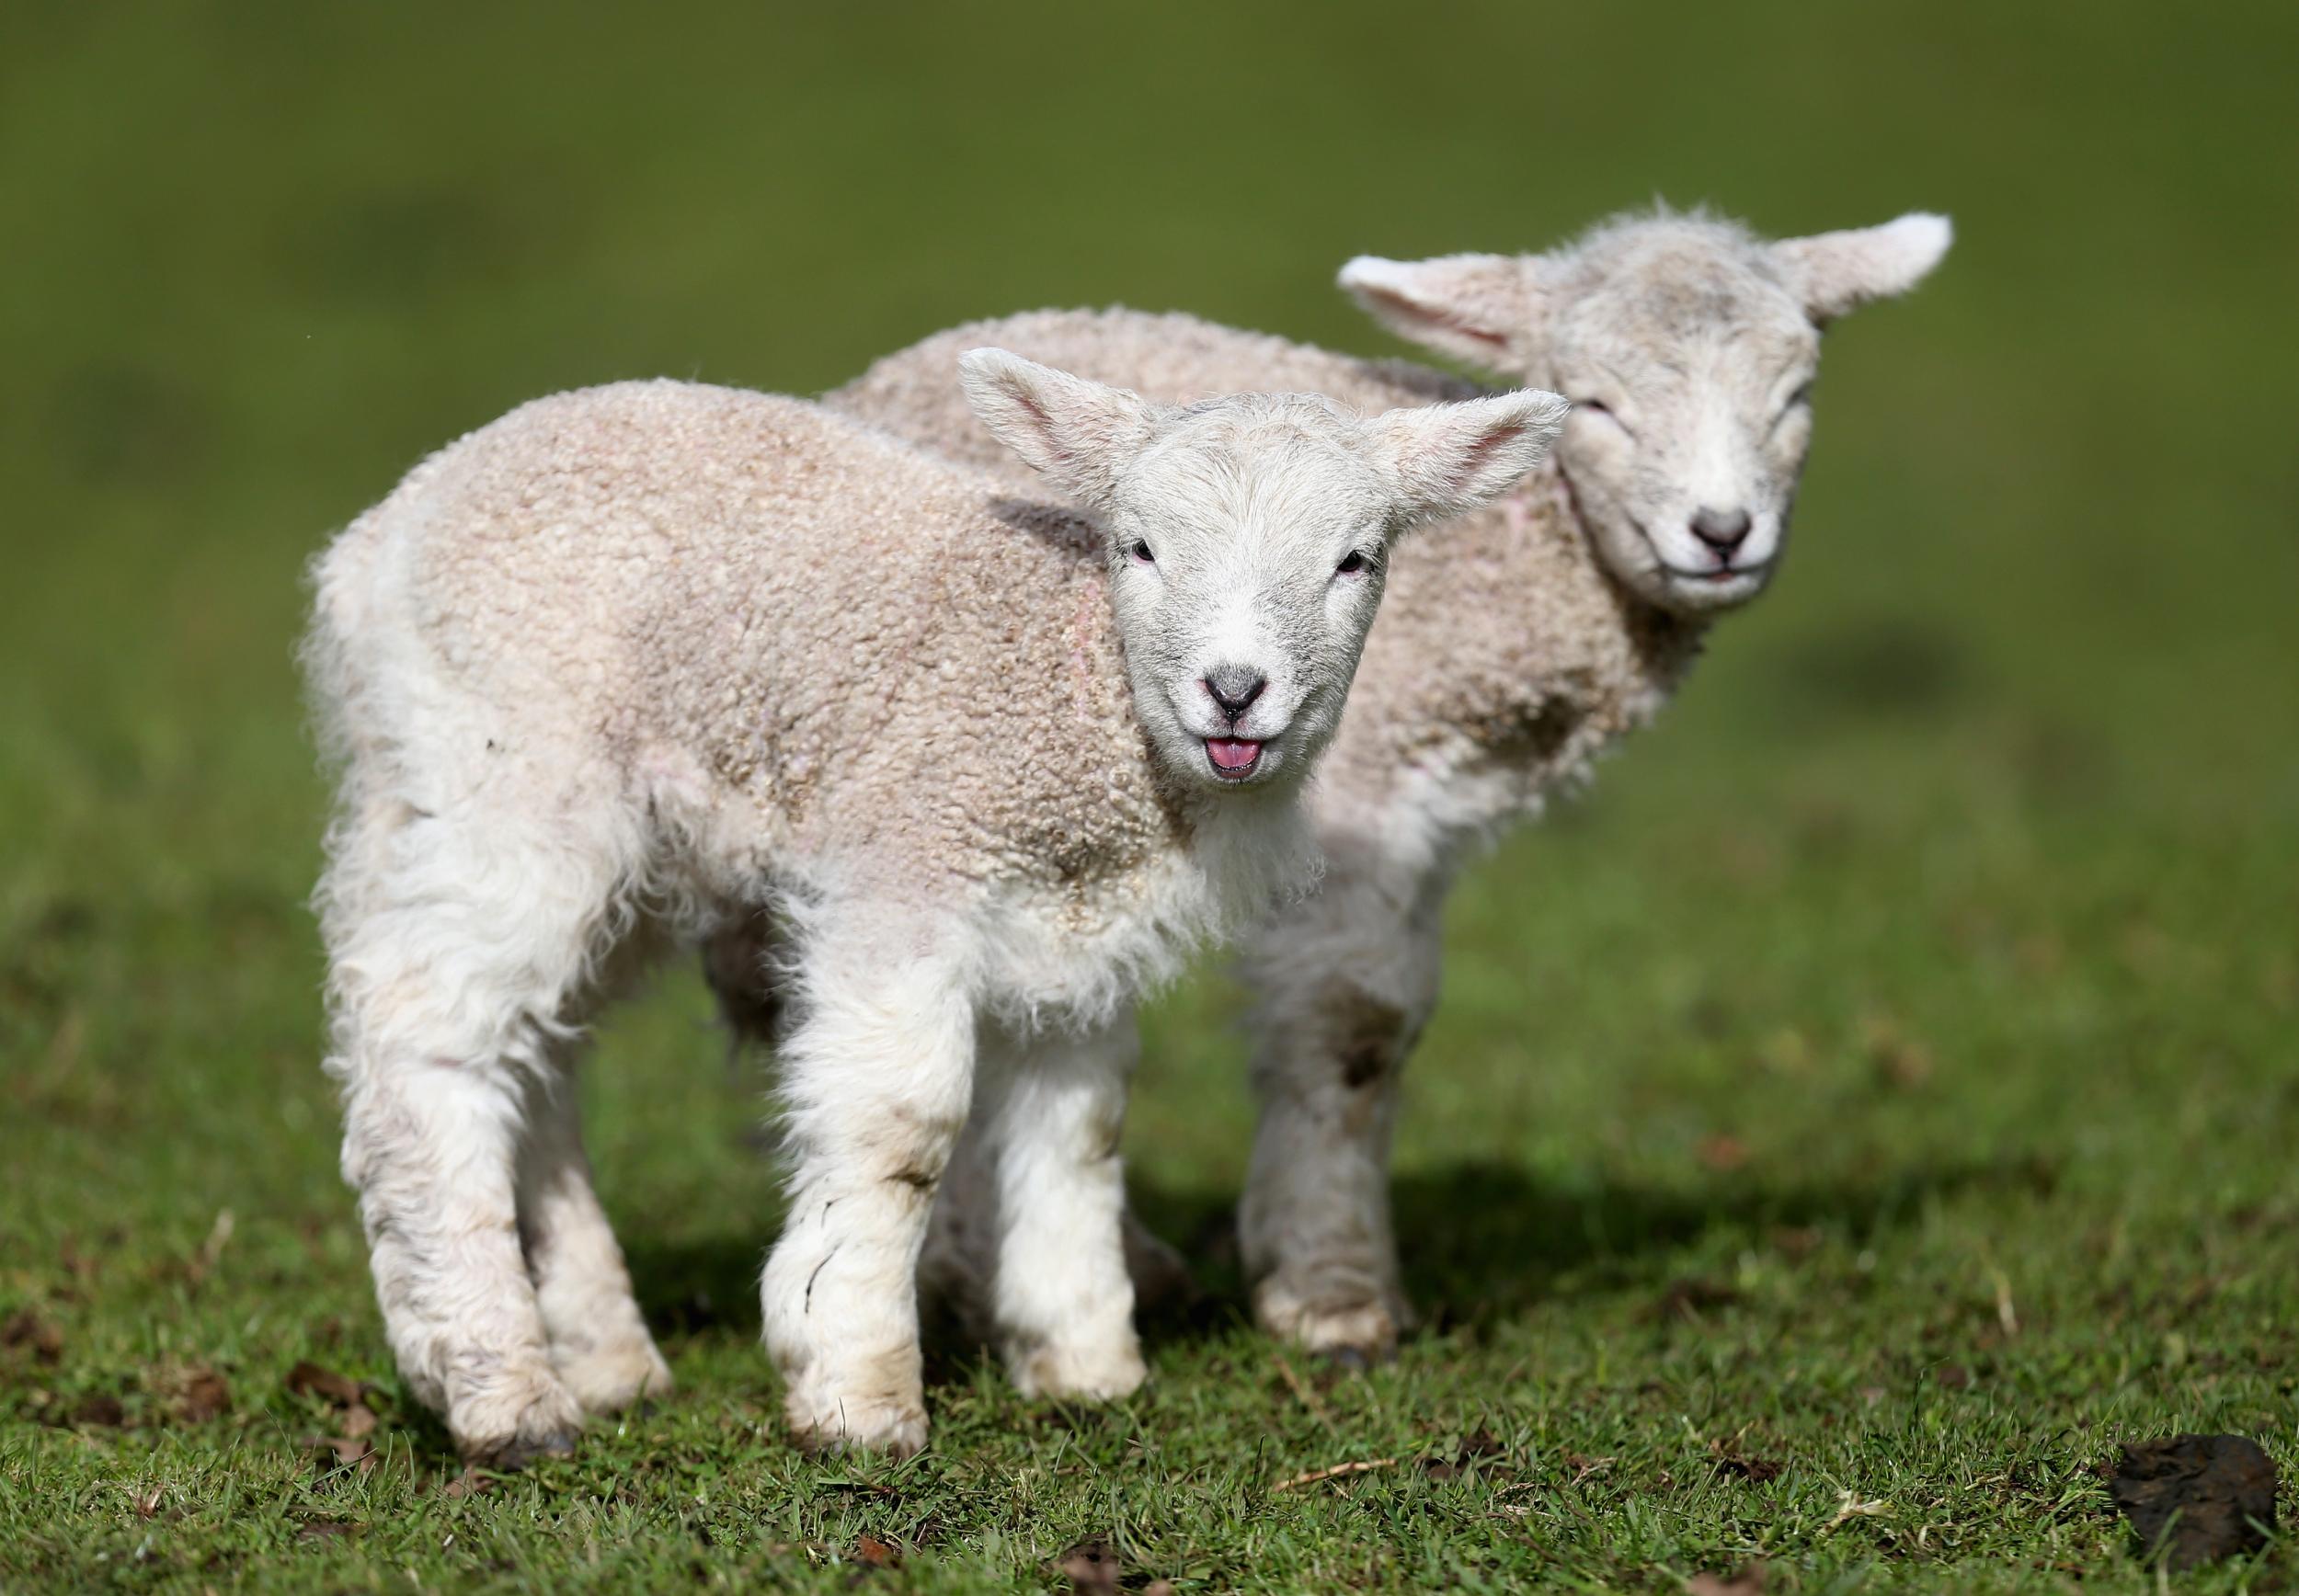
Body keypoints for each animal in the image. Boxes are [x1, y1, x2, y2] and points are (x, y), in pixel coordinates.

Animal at [303, 351, 1568, 1461]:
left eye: (1355, 560)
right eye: (1140, 546)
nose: (1235, 692)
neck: (1072, 691)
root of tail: (371, 544)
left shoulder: (1081, 928)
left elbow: (1080, 1125)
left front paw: (1082, 1361)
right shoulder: (904, 866)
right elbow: (900, 1130)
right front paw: (854, 1386)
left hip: (594, 829)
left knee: (537, 1049)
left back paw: (605, 1355)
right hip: (506, 771)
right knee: (427, 1033)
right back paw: (500, 1390)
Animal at [807, 207, 1952, 1361]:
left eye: (1795, 396)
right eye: (1593, 402)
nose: (1722, 534)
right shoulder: (1357, 797)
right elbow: (1352, 1024)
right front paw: (1332, 1292)